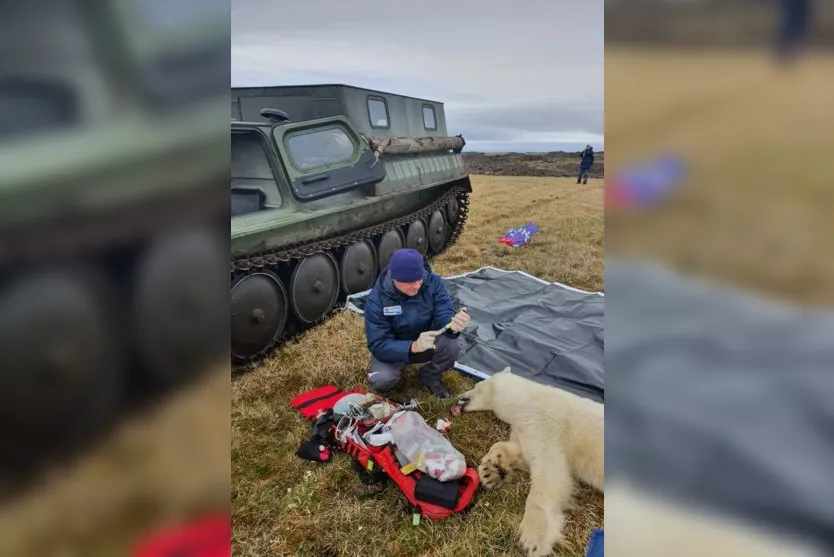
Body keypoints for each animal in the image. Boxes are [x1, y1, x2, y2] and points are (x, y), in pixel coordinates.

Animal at [456, 368, 604, 552]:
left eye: (476, 386)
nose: (459, 396)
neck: (526, 398)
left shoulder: (543, 421)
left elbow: (549, 470)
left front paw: (531, 539)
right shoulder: (523, 425)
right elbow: (520, 452)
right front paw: (490, 472)